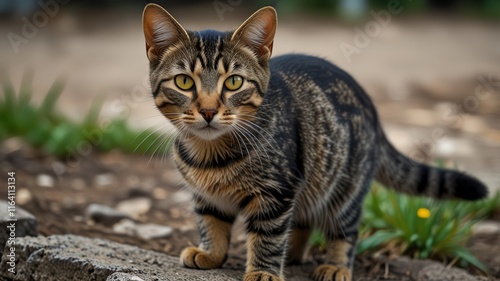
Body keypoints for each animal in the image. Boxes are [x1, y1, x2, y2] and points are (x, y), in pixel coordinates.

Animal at [142, 3, 488, 280]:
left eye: (234, 82)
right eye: (184, 82)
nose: (209, 111)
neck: (209, 153)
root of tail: (371, 106)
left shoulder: (276, 192)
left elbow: (268, 236)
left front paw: (263, 271)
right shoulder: (207, 196)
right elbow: (211, 223)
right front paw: (210, 253)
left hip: (344, 189)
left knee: (344, 230)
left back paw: (335, 265)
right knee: (303, 220)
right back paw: (294, 255)